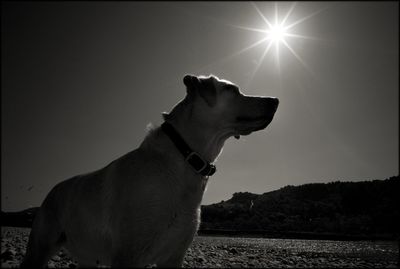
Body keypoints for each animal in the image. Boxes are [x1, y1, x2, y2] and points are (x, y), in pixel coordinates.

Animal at [21, 73, 278, 266]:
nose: (275, 99)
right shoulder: (127, 255)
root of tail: (53, 188)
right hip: (39, 247)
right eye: (233, 90)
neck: (183, 157)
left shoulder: (174, 256)